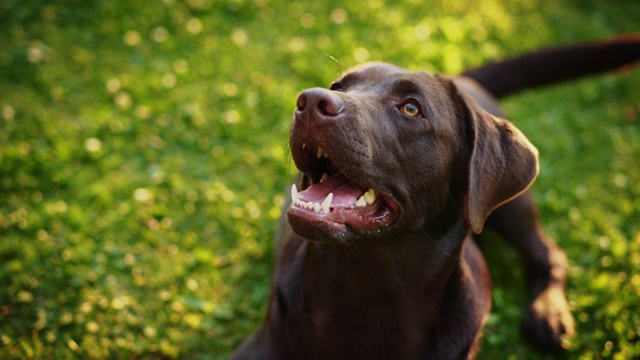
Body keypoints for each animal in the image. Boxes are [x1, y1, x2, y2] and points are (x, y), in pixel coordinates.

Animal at [232, 35, 640, 358]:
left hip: (512, 208)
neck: (370, 289)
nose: (310, 100)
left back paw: (548, 313)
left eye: (412, 108)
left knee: (548, 253)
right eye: (338, 85)